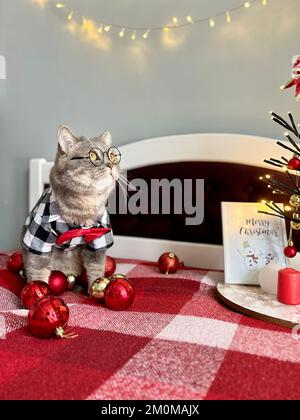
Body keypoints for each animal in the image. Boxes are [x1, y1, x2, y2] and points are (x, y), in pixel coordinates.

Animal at [22, 125, 119, 288]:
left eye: (113, 156)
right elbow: (38, 271)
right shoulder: (38, 238)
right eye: (93, 156)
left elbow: (96, 269)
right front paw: (39, 290)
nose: (111, 164)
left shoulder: (99, 239)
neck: (83, 209)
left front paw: (97, 287)